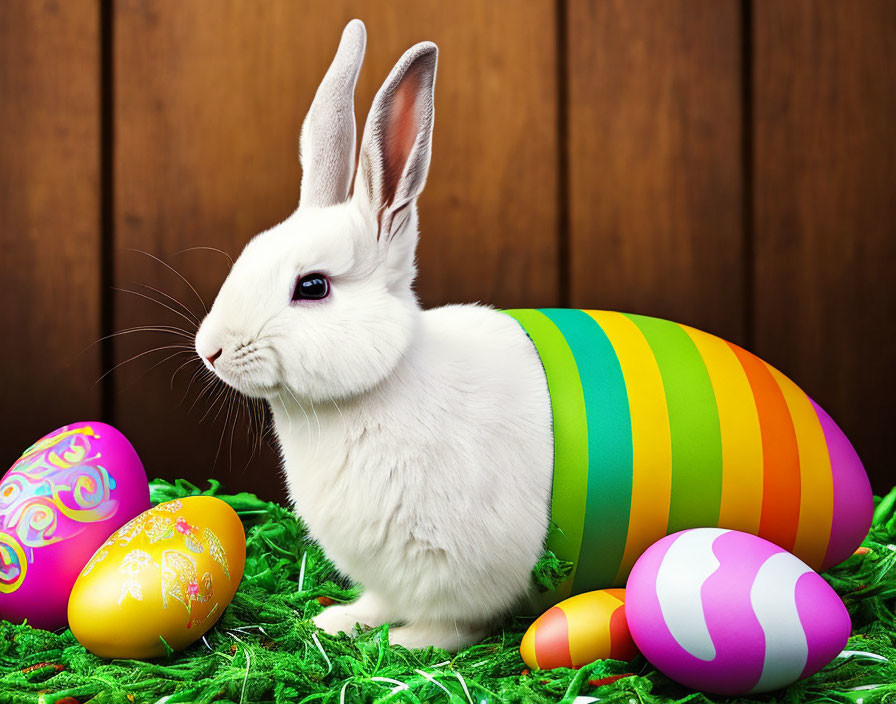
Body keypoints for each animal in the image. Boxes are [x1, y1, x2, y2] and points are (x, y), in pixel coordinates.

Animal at [194, 20, 552, 648]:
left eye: (312, 286)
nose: (209, 350)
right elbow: (381, 601)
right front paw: (340, 621)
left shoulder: (464, 575)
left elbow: (456, 622)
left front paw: (409, 644)